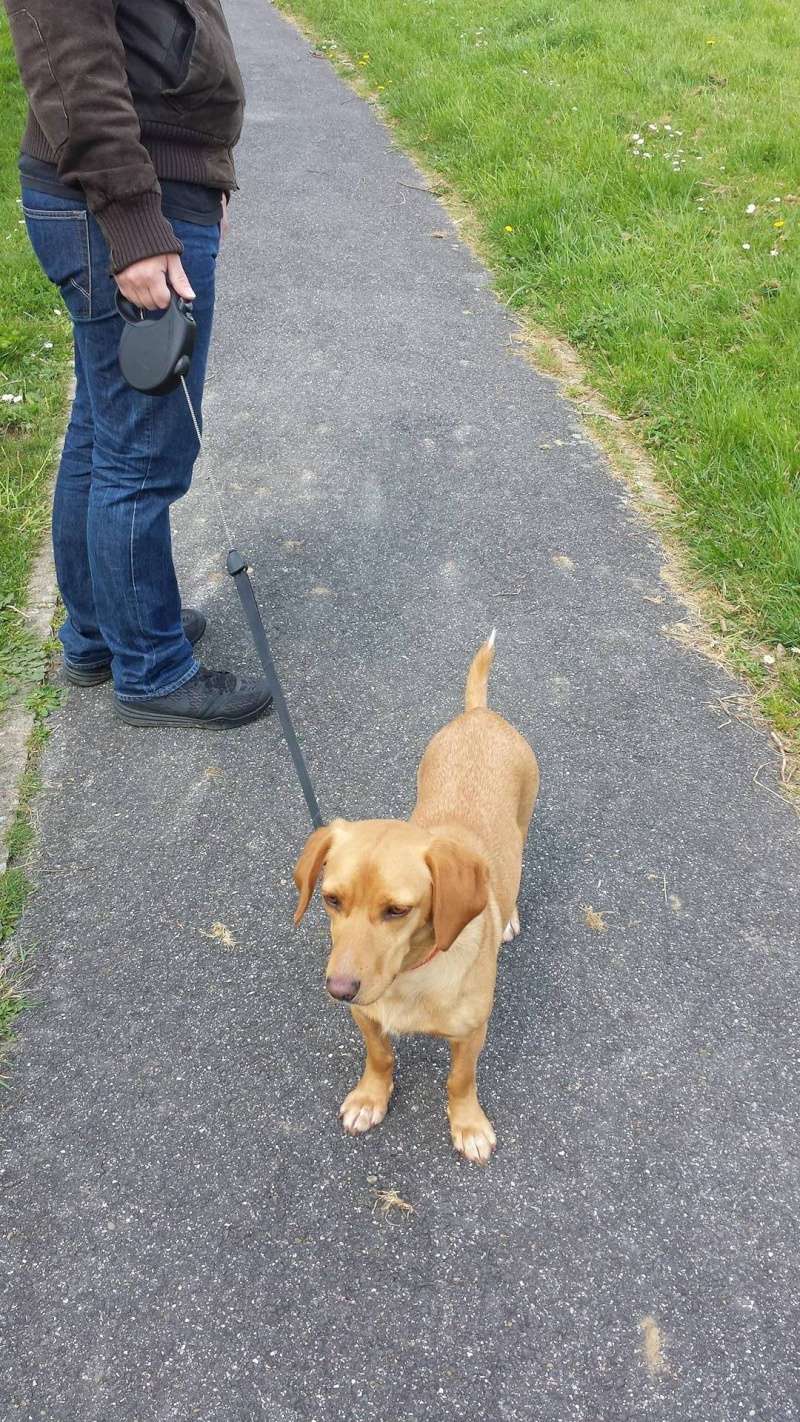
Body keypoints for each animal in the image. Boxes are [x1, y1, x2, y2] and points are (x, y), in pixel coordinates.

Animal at [292, 637, 537, 1166]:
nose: (338, 989)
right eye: (331, 899)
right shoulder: (366, 1016)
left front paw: (468, 1124)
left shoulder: (471, 1034)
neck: (410, 976)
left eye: (397, 910)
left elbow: (460, 1080)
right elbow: (381, 1056)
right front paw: (371, 1097)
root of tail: (479, 714)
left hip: (524, 821)